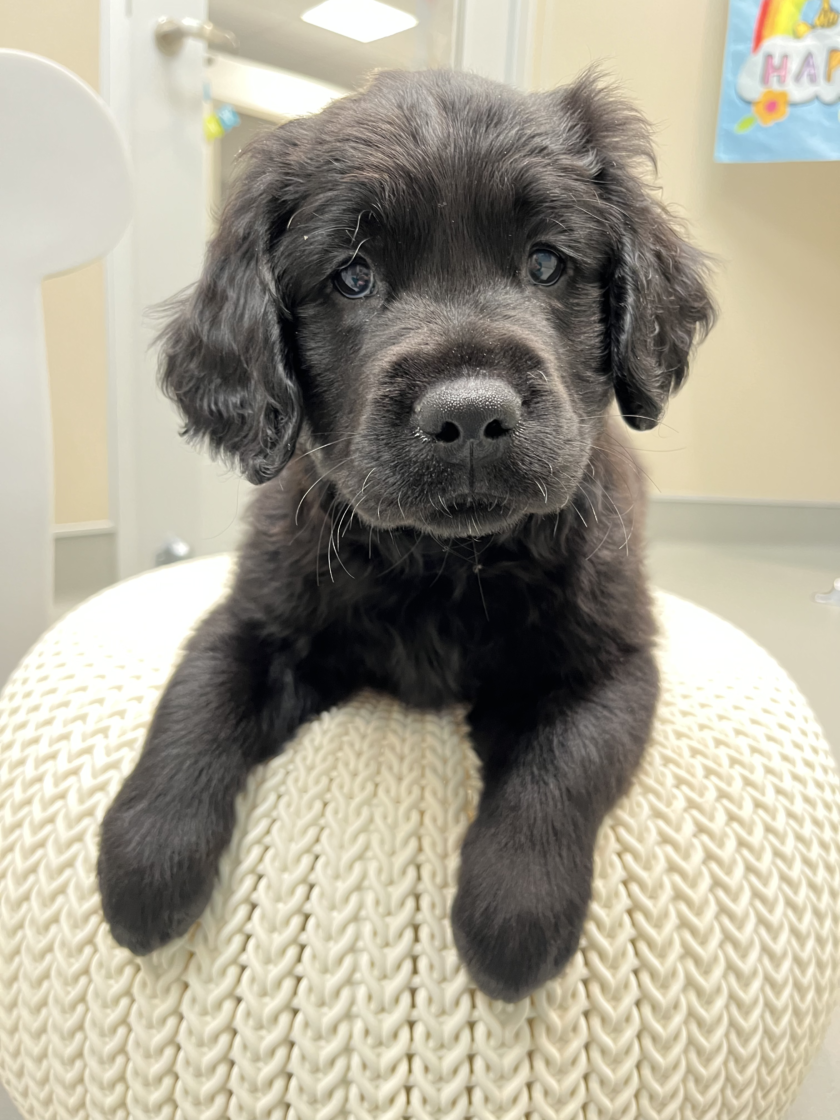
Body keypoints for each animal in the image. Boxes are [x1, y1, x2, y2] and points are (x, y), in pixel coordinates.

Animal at [98, 67, 716, 999]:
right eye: (352, 277)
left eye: (546, 262)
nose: (470, 416)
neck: (441, 561)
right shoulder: (259, 616)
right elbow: (195, 698)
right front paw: (145, 861)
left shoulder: (611, 659)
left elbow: (560, 770)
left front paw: (513, 916)